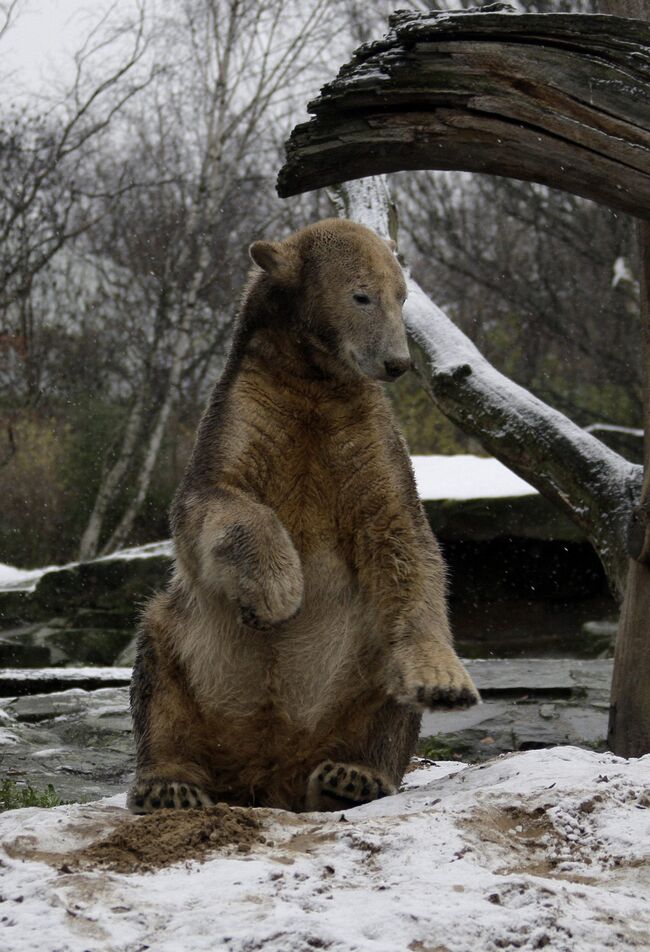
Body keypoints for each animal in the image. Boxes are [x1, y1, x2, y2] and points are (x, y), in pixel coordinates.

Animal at [126, 219, 476, 816]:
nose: (397, 363)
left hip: (357, 670)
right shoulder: (245, 409)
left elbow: (401, 538)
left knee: (383, 692)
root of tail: (267, 778)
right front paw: (277, 593)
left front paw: (443, 680)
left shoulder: (364, 431)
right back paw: (168, 785)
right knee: (159, 669)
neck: (313, 380)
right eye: (361, 296)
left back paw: (351, 777)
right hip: (189, 649)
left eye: (403, 297)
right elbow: (212, 501)